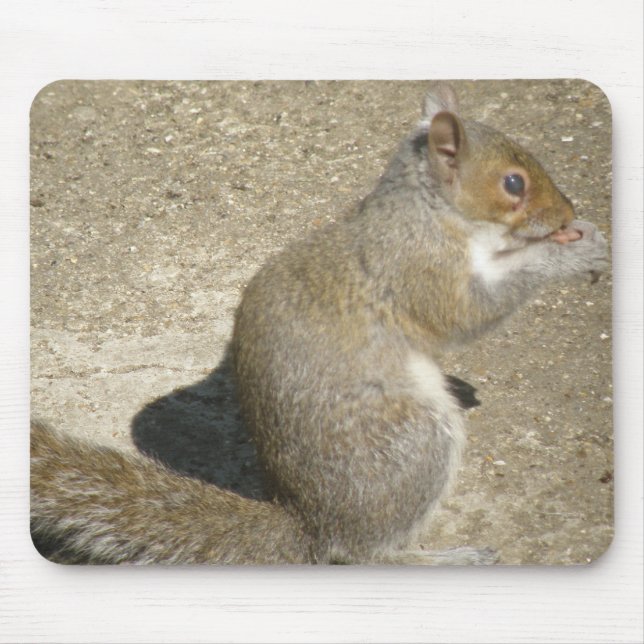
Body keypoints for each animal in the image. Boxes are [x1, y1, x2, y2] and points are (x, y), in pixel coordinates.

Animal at [30, 83, 608, 565]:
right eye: (513, 183)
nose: (566, 214)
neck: (428, 212)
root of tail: (311, 525)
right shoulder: (420, 270)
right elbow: (471, 313)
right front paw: (571, 254)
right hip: (414, 440)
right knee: (365, 554)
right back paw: (442, 558)